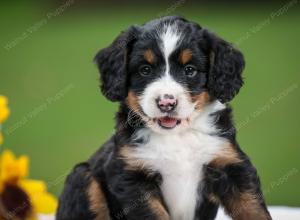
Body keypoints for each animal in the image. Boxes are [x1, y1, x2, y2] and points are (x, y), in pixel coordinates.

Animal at [56, 15, 272, 220]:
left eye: (190, 70)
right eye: (145, 69)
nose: (166, 103)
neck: (178, 137)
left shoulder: (230, 165)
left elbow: (253, 209)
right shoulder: (132, 176)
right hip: (83, 177)